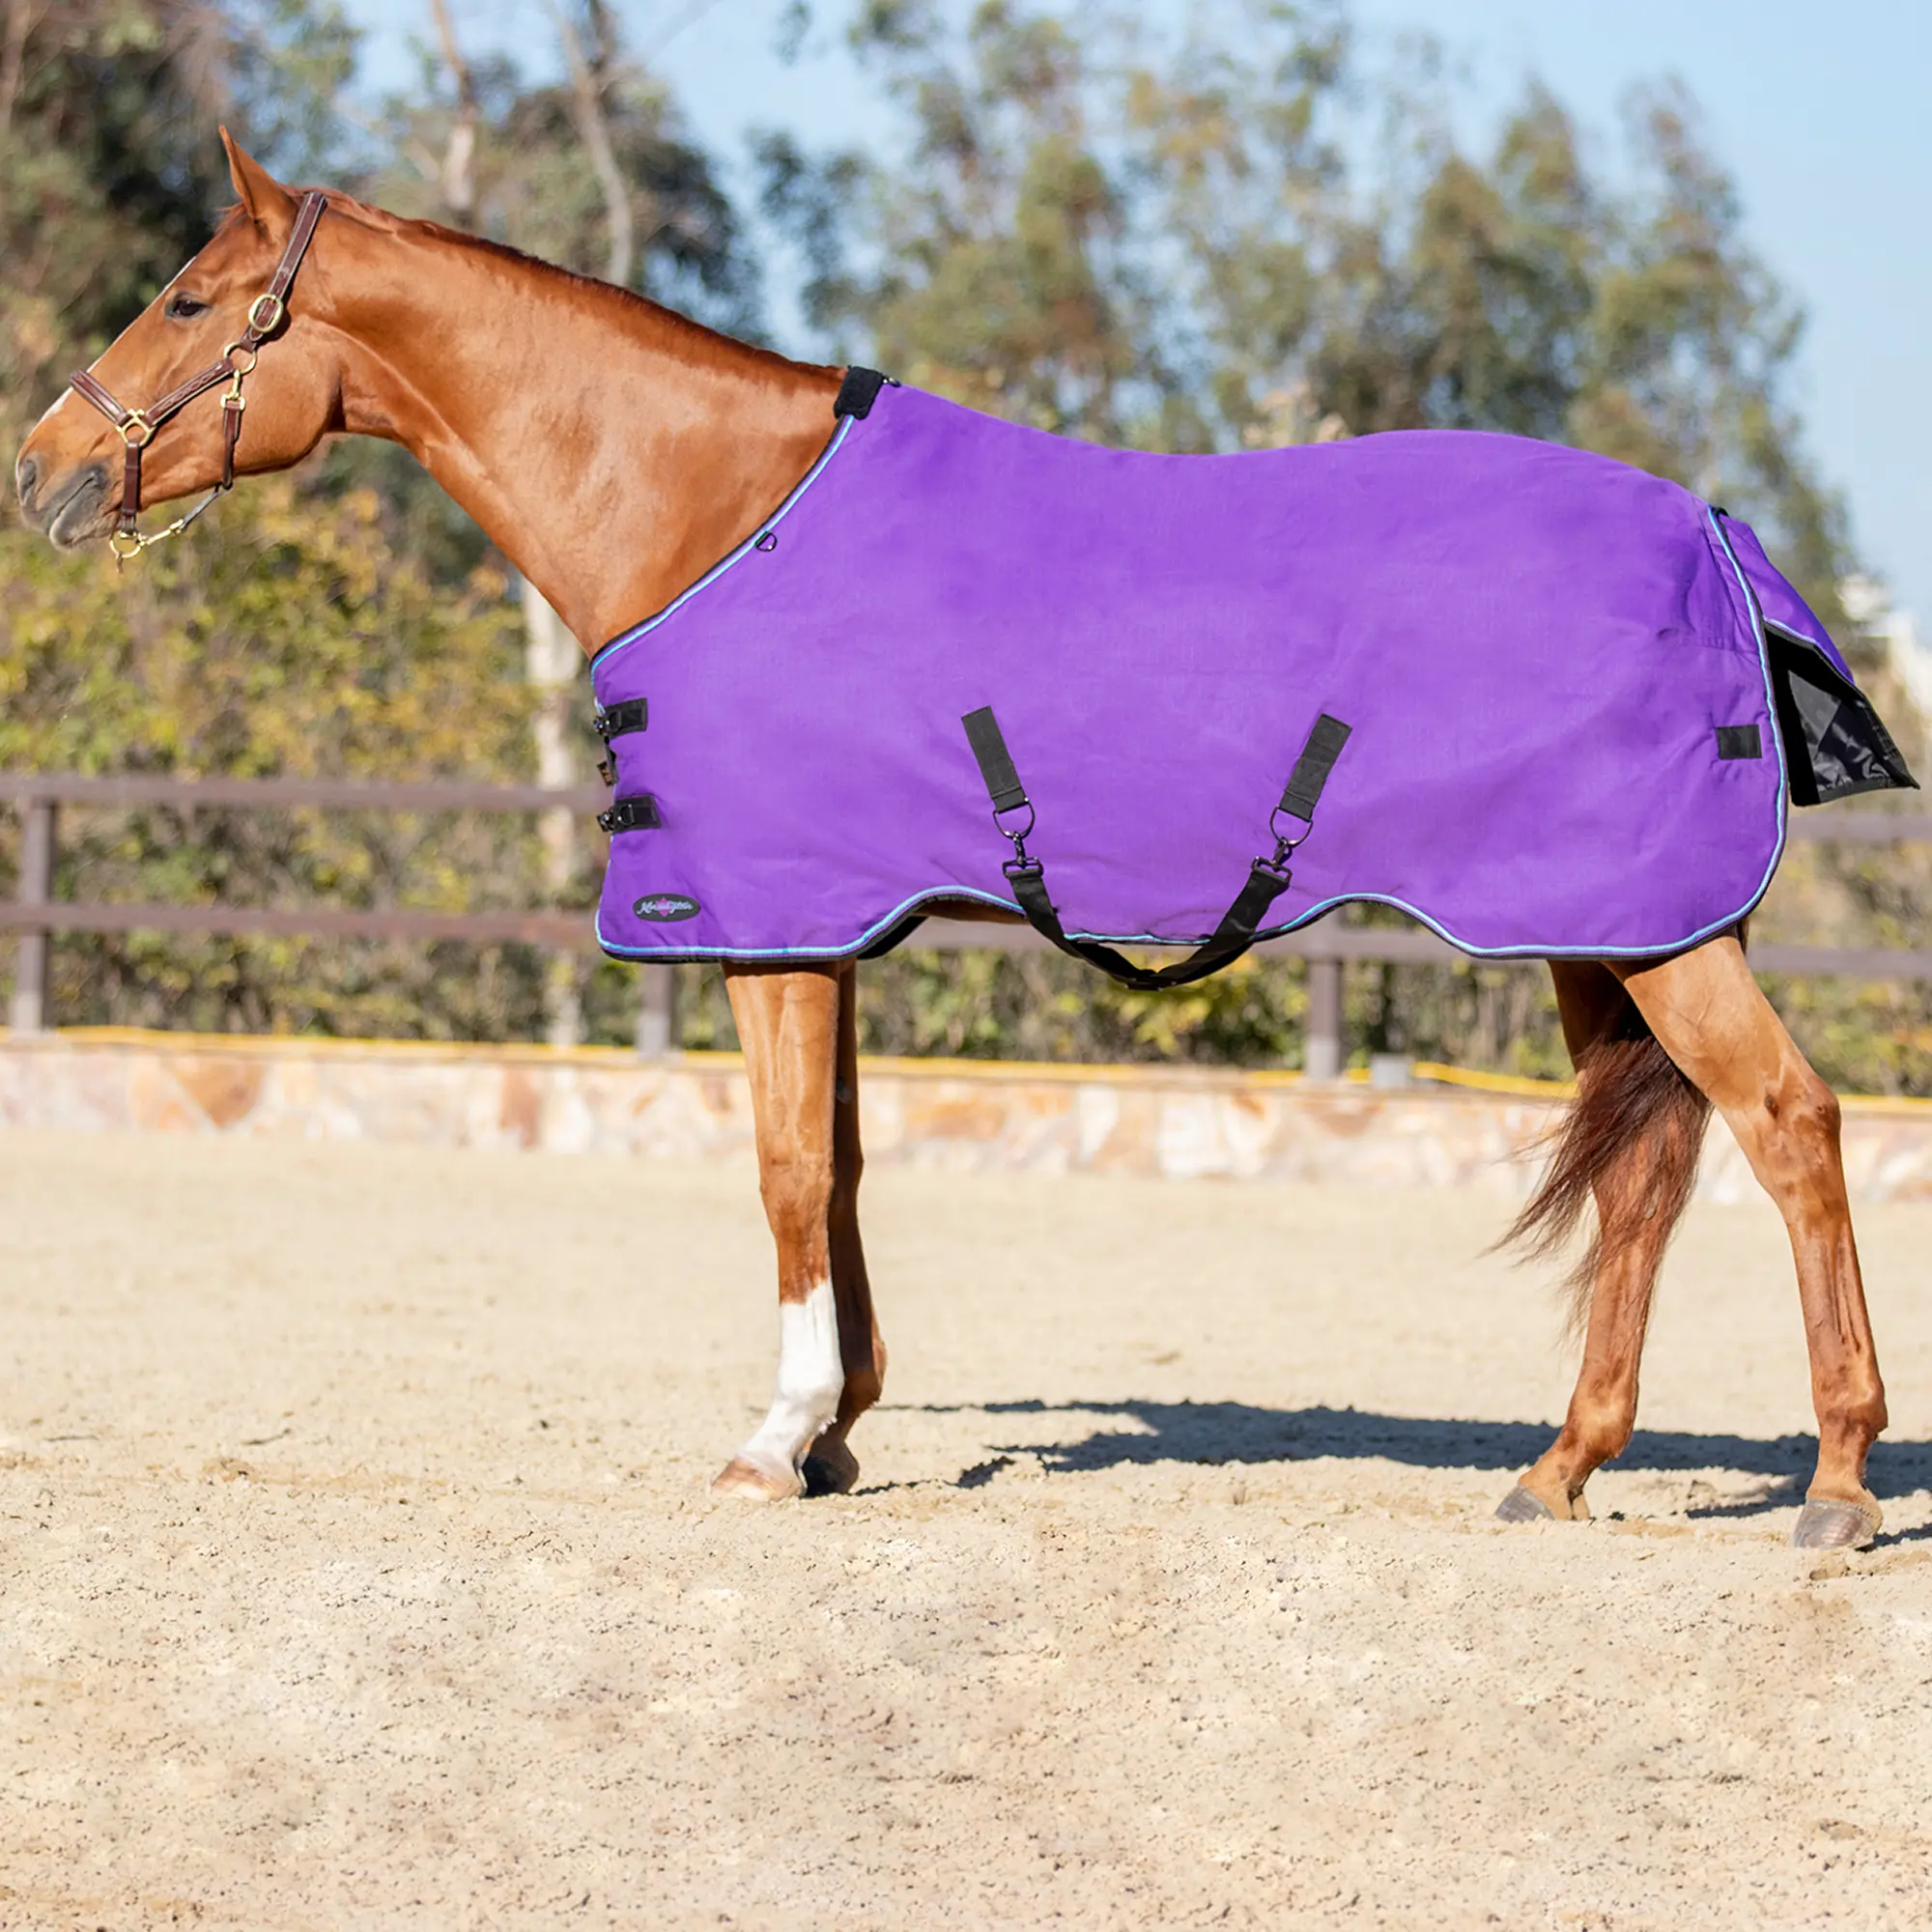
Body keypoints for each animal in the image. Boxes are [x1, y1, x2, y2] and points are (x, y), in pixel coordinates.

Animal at [14, 134, 1898, 1550]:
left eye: (189, 298)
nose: (38, 469)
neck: (712, 514)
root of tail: (1710, 529)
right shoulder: (826, 924)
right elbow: (841, 1167)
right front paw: (839, 1431)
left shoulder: (761, 926)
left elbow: (782, 1171)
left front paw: (771, 1441)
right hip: (1596, 931)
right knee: (1652, 1171)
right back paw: (1563, 1466)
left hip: (1660, 936)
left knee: (1793, 1129)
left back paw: (1838, 1481)